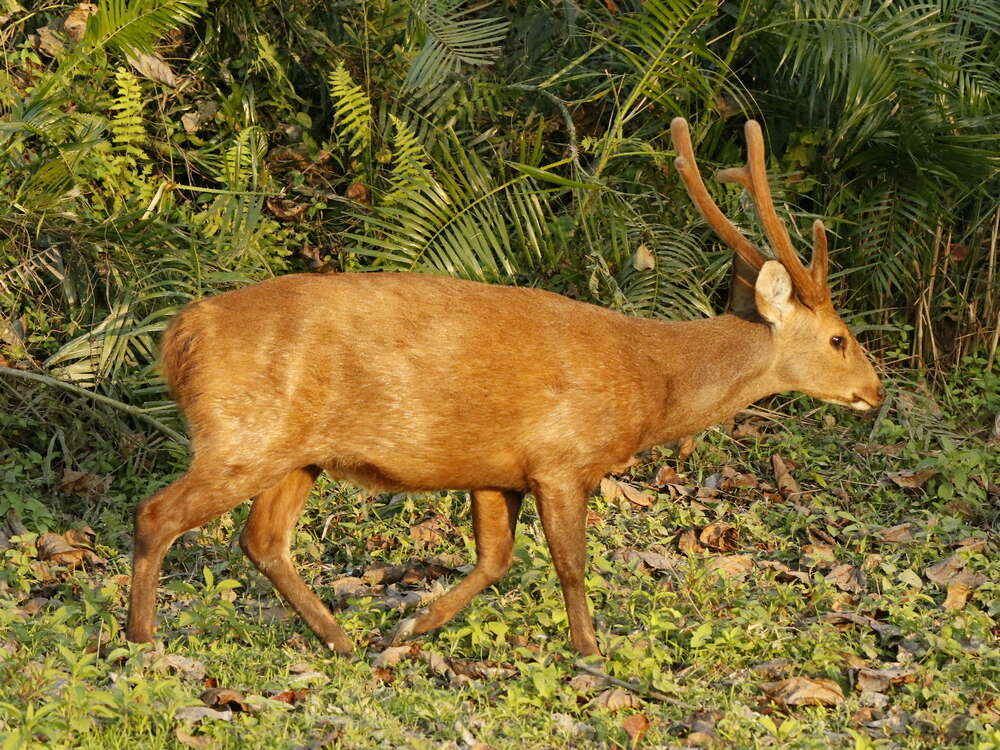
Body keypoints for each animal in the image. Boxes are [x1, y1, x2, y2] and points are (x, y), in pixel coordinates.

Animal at [127, 117, 884, 656]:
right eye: (839, 338)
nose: (876, 391)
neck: (654, 385)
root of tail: (181, 336)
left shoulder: (498, 470)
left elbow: (494, 559)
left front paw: (412, 628)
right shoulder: (561, 457)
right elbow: (570, 564)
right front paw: (590, 652)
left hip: (297, 452)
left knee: (263, 540)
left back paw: (339, 639)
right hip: (241, 433)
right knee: (157, 514)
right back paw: (141, 641)